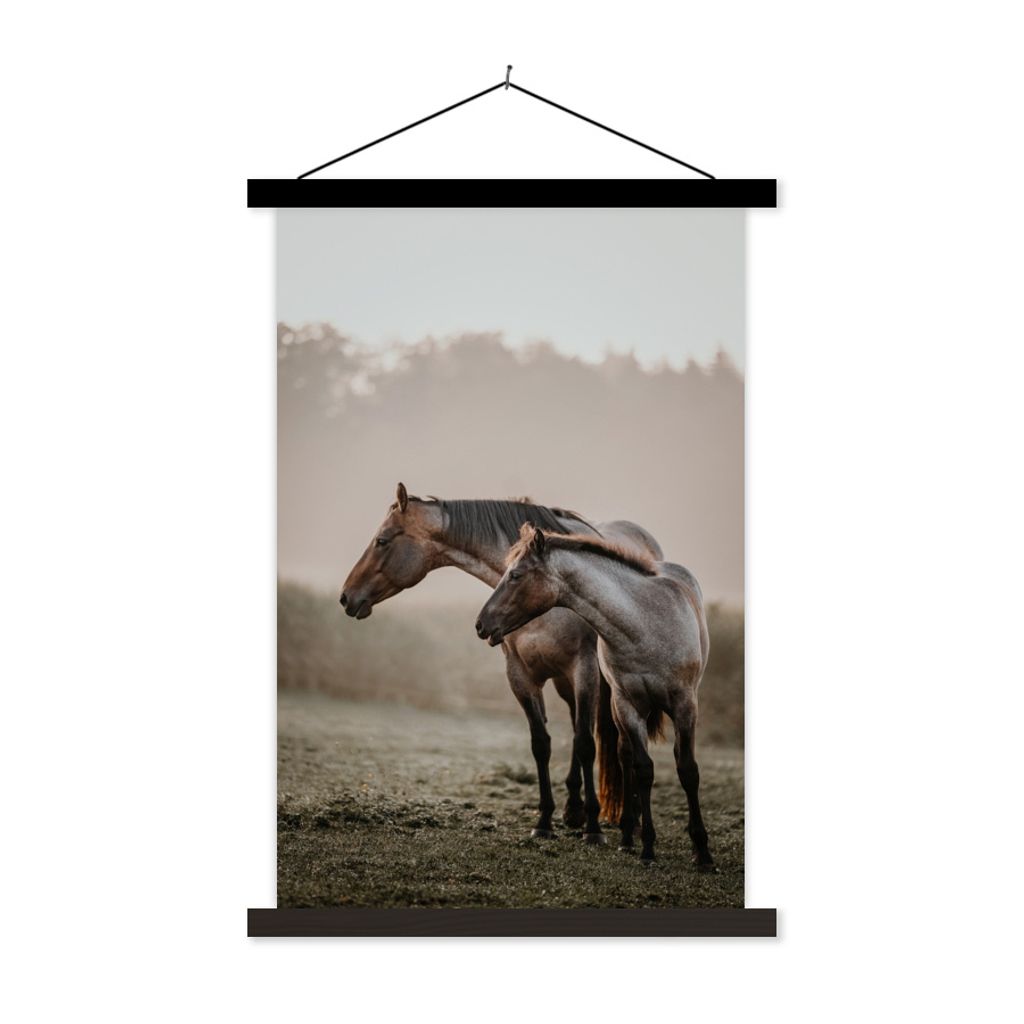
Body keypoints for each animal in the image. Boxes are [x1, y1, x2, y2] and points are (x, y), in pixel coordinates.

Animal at [339, 483, 663, 843]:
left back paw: (629, 820)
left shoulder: (585, 670)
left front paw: (594, 829)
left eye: (382, 541)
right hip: (566, 684)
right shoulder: (521, 676)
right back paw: (574, 810)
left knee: (621, 745)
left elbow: (585, 745)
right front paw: (545, 821)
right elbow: (541, 744)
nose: (346, 596)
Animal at [475, 523, 714, 869]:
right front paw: (647, 849)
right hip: (620, 709)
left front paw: (703, 852)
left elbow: (688, 771)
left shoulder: (685, 705)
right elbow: (643, 769)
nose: (481, 624)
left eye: (516, 575)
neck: (644, 625)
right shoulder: (627, 705)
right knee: (625, 756)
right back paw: (628, 837)